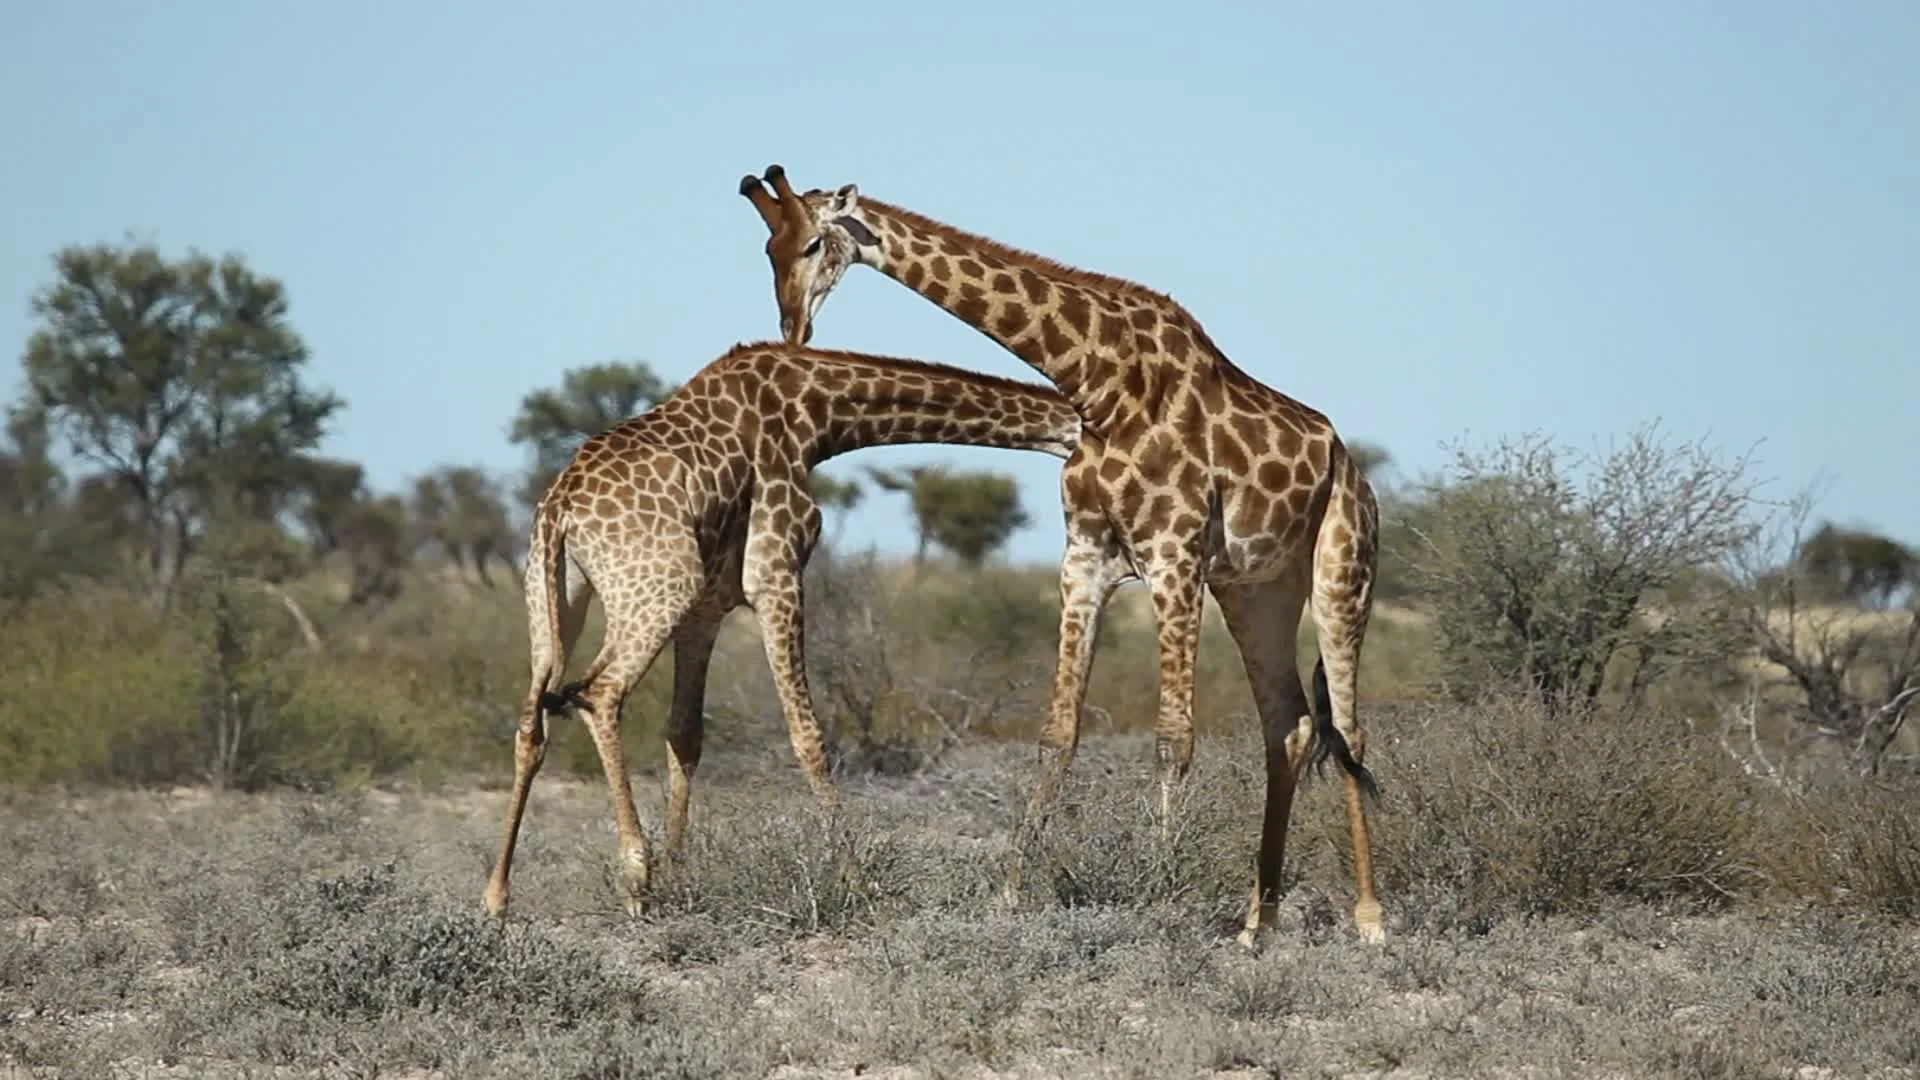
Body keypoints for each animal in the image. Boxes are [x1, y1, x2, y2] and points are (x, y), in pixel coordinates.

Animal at [480, 340, 1081, 920]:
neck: (818, 416)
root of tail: (559, 509)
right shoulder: (775, 574)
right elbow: (808, 733)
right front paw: (855, 882)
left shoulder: (707, 607)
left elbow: (685, 735)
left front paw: (678, 878)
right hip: (657, 588)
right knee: (598, 692)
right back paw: (632, 877)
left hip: (558, 595)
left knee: (532, 720)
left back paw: (496, 897)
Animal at [737, 165, 1386, 945]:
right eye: (766, 249)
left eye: (811, 244)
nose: (792, 329)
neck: (1097, 381)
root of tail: (1349, 463)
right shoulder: (1086, 556)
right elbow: (1057, 734)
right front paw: (1009, 896)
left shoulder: (1172, 553)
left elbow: (1173, 735)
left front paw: (1161, 886)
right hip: (1257, 589)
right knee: (1289, 727)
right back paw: (1256, 922)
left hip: (1342, 569)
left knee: (1348, 727)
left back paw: (1371, 918)